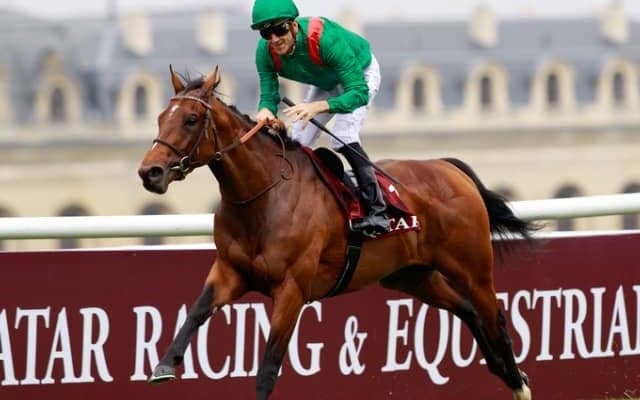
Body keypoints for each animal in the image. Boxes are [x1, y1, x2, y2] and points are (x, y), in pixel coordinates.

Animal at [138, 66, 536, 400]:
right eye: (159, 117)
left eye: (191, 120)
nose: (150, 172)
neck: (264, 196)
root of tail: (448, 168)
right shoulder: (230, 271)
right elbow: (195, 312)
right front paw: (163, 365)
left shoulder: (292, 289)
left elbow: (267, 368)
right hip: (411, 276)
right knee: (468, 311)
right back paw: (503, 370)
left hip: (471, 268)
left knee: (495, 317)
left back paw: (518, 383)